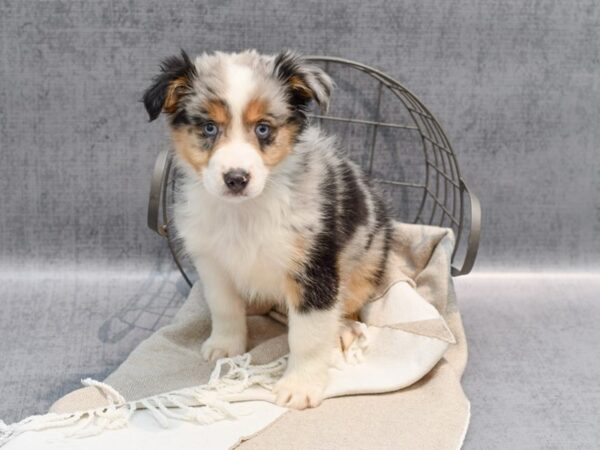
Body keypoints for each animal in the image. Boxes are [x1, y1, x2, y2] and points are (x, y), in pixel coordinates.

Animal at [142, 50, 394, 412]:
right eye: (209, 127)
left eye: (263, 128)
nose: (236, 178)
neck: (244, 212)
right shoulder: (213, 264)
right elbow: (224, 308)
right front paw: (225, 346)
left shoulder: (312, 269)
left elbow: (307, 335)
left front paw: (300, 386)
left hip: (365, 264)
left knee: (348, 304)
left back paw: (342, 331)